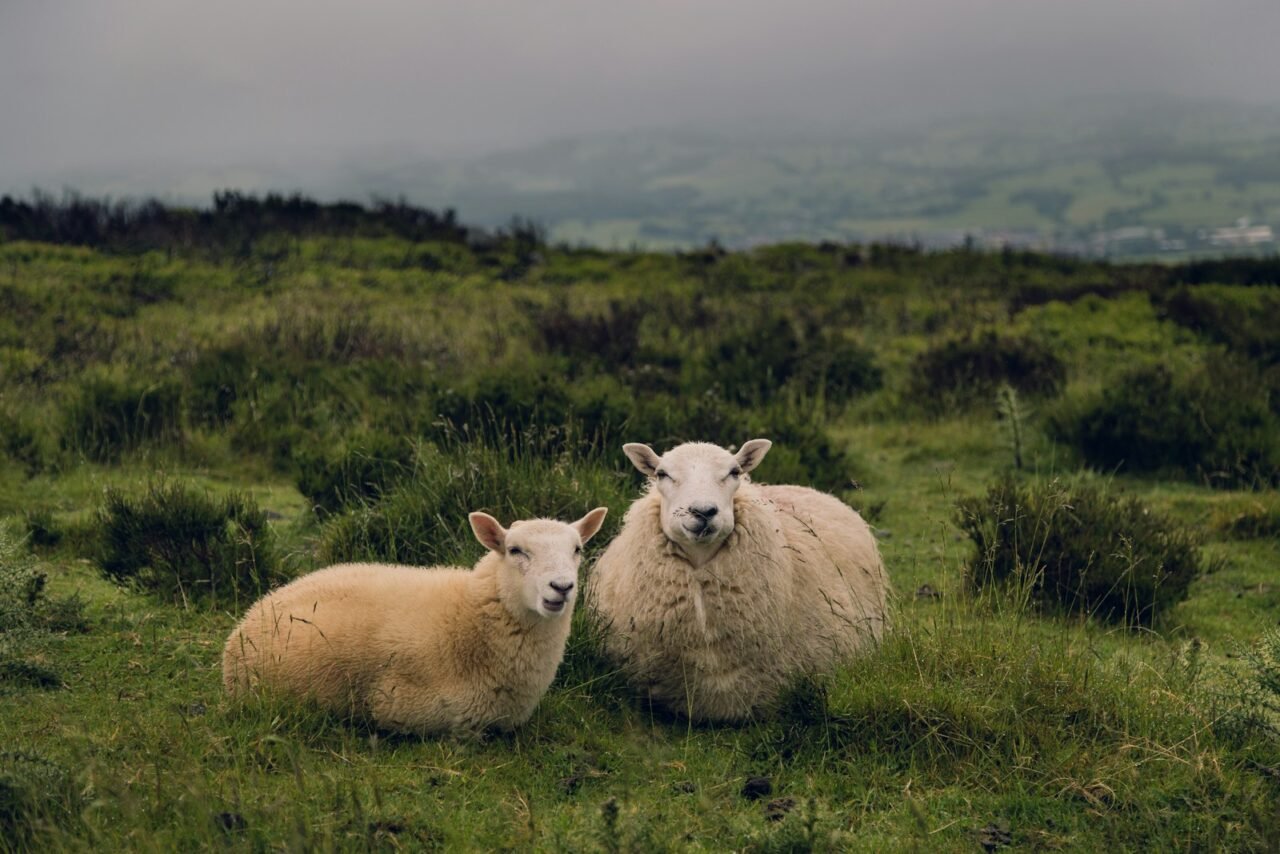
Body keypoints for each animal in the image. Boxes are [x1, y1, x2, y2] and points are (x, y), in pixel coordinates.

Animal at [223, 507, 608, 736]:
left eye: (577, 549)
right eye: (515, 550)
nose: (562, 587)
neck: (470, 619)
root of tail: (253, 613)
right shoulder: (411, 709)